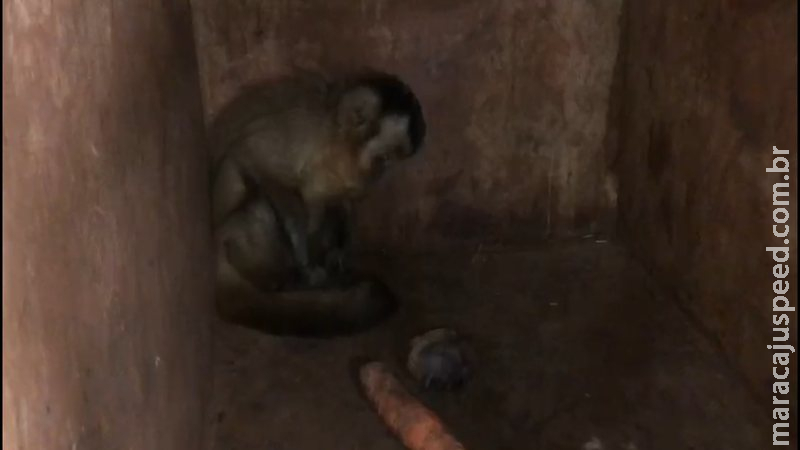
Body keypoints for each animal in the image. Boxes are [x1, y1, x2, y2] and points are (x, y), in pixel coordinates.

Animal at [209, 70, 426, 336]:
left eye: (392, 159)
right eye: (383, 157)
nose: (381, 173)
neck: (336, 146)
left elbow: (343, 205)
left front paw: (340, 254)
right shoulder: (303, 131)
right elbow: (253, 160)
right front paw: (304, 255)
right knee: (257, 197)